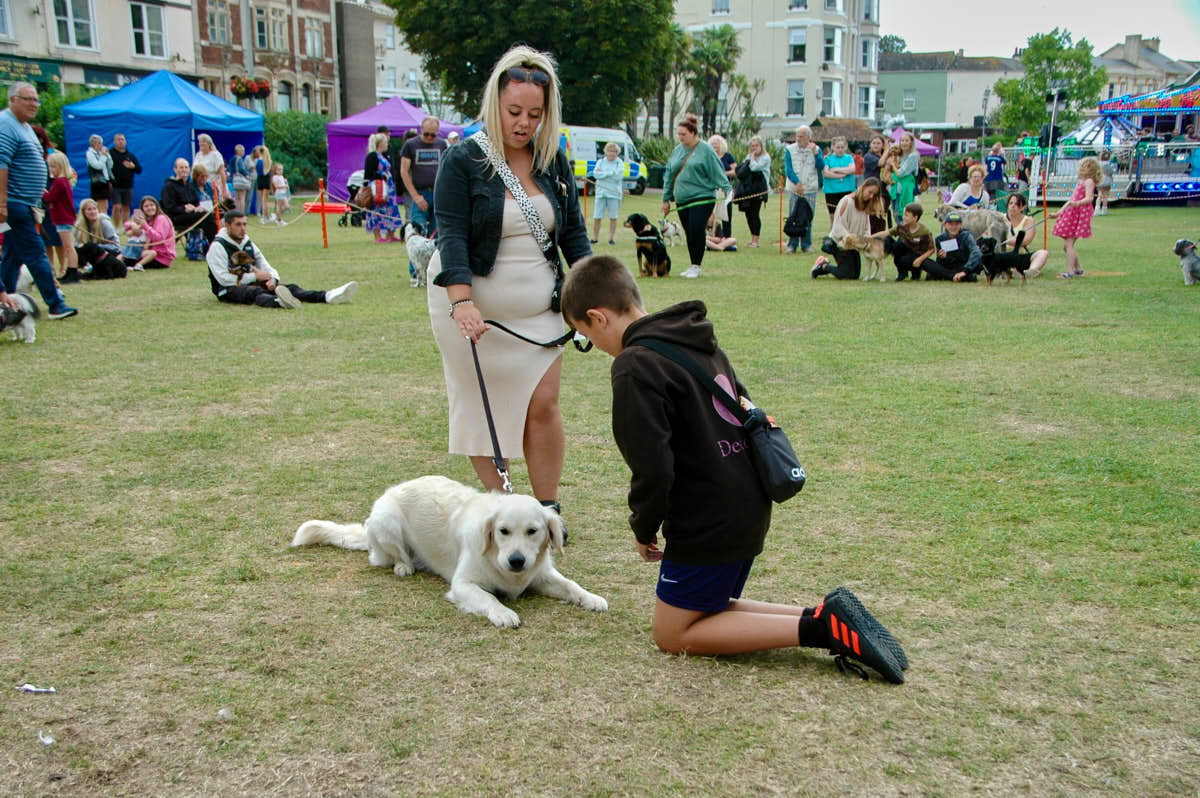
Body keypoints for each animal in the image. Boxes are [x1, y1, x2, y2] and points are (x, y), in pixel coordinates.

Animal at [291, 476, 608, 628]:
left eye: (533, 531)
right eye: (503, 531)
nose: (517, 561)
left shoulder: (541, 574)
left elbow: (571, 585)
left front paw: (591, 598)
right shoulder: (463, 584)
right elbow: (488, 598)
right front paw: (503, 613)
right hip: (386, 521)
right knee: (388, 557)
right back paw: (403, 566)